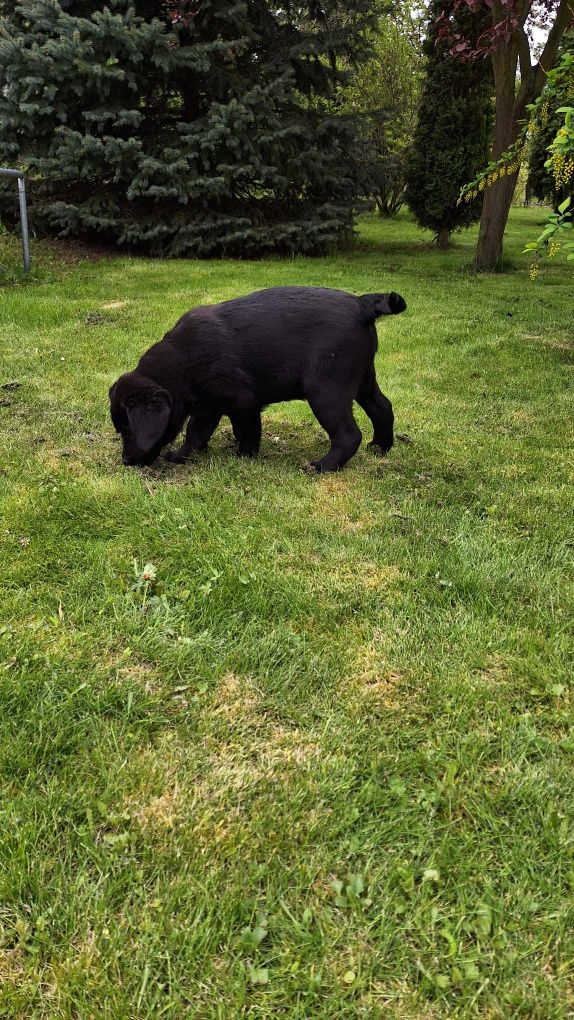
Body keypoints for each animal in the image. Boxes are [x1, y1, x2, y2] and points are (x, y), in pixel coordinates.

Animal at [110, 287, 405, 473]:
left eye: (128, 430)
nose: (126, 461)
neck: (181, 361)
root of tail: (361, 305)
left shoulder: (242, 401)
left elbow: (247, 431)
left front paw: (244, 455)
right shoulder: (207, 407)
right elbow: (196, 434)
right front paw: (182, 455)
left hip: (326, 389)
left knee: (348, 435)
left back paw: (323, 466)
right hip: (362, 379)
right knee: (383, 407)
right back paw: (381, 447)